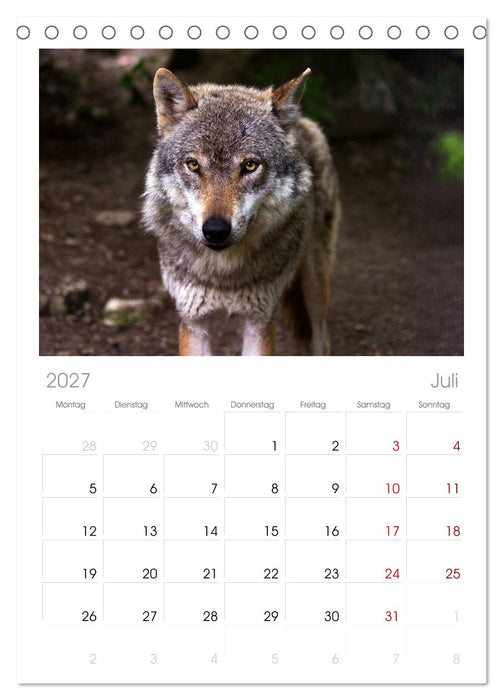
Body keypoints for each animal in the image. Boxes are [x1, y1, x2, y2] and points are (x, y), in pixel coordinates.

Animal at [143, 66, 341, 355]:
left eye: (249, 166)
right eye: (193, 164)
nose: (215, 230)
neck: (223, 275)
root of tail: (302, 122)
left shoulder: (259, 322)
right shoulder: (193, 322)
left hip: (315, 289)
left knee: (322, 338)